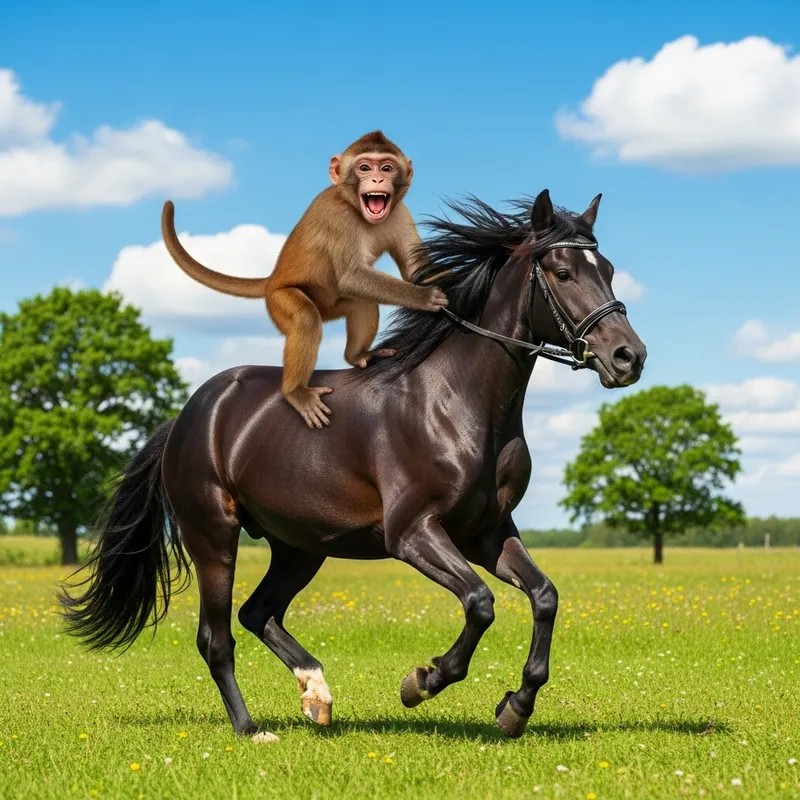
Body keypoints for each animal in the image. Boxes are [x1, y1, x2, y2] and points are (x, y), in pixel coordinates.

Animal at [61, 188, 646, 741]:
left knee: (257, 613)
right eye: (563, 272)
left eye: (609, 269)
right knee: (216, 637)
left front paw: (515, 709)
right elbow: (480, 602)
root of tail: (187, 417)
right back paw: (252, 729)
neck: (456, 403)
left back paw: (316, 695)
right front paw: (422, 682)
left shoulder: (488, 531)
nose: (629, 357)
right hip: (214, 537)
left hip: (300, 546)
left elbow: (544, 597)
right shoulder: (412, 533)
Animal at [161, 131, 447, 429]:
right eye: (365, 167)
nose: (378, 180)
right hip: (279, 299)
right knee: (306, 318)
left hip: (330, 304)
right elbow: (352, 277)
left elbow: (414, 270)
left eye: (387, 167)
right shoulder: (338, 217)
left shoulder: (401, 213)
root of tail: (271, 280)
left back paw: (357, 356)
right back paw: (296, 391)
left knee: (362, 303)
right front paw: (425, 297)